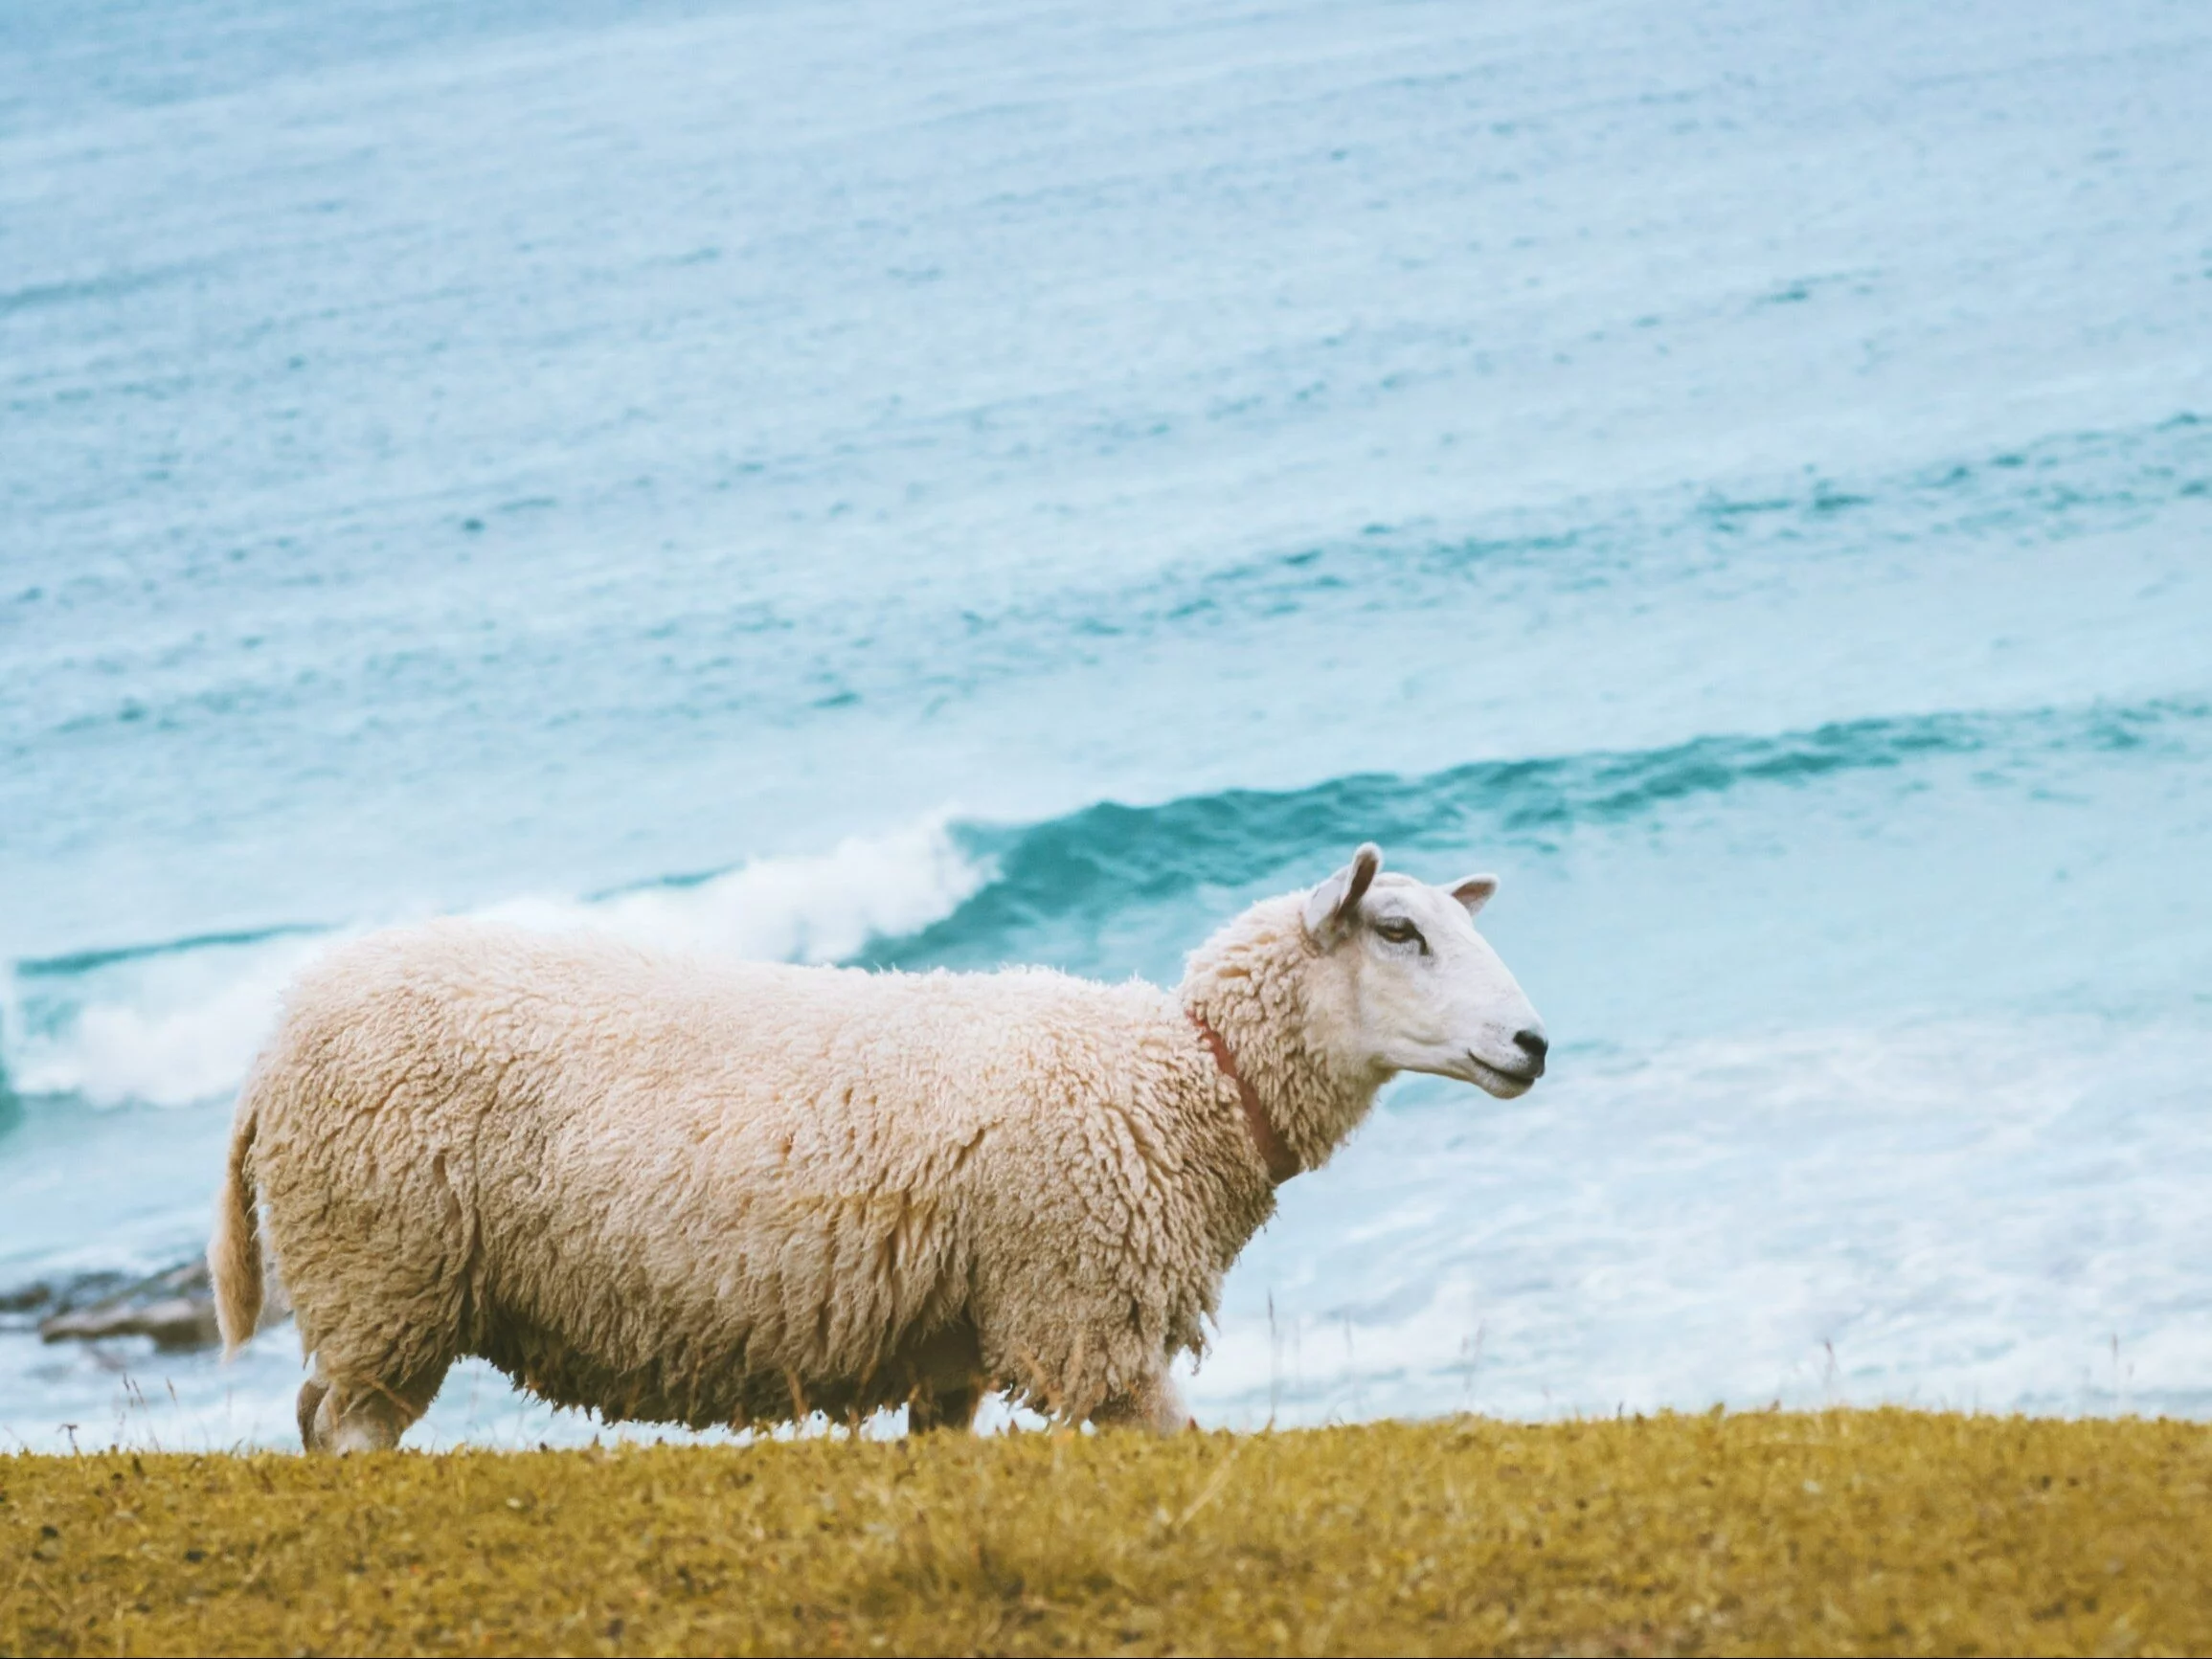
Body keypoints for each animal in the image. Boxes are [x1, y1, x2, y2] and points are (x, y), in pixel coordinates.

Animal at [215, 849, 1548, 1450]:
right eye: (1399, 931)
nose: (1533, 1042)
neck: (1181, 1076)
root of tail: (276, 1035)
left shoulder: (951, 1342)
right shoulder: (1082, 1316)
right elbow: (1175, 1440)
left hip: (374, 1287)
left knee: (315, 1415)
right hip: (387, 1268)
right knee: (351, 1426)